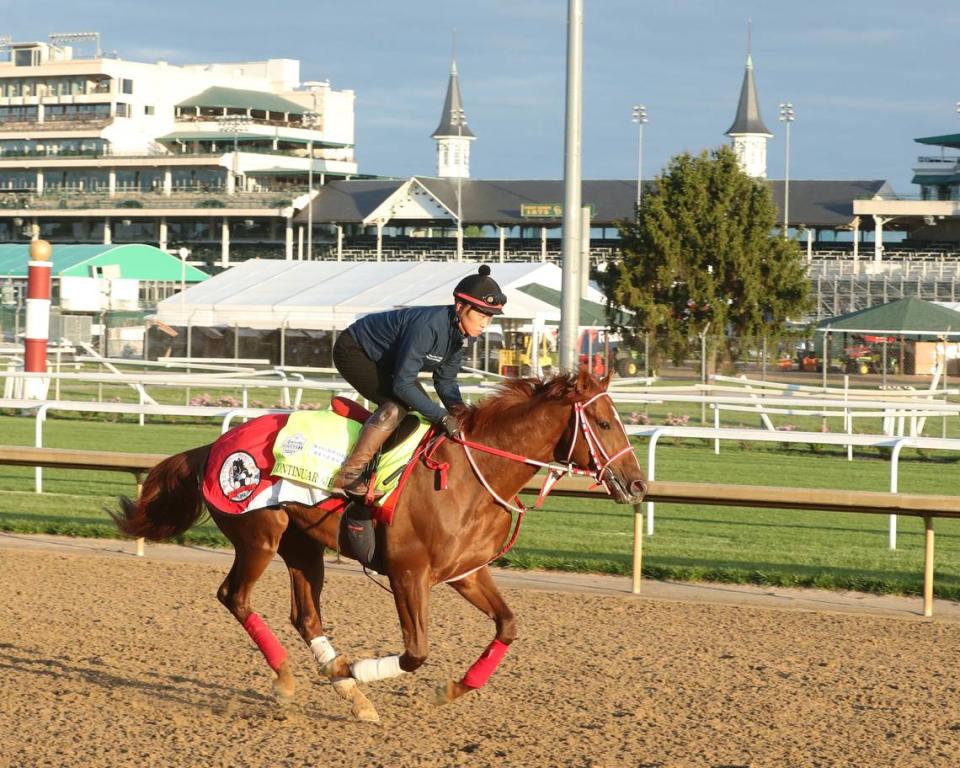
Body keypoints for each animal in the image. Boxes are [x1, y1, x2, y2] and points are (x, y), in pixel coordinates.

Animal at [114, 368, 652, 724]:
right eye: (605, 424)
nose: (638, 484)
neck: (471, 475)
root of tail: (213, 447)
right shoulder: (407, 574)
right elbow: (415, 653)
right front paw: (356, 667)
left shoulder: (466, 573)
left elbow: (508, 625)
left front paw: (454, 689)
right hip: (259, 536)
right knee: (235, 597)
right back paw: (293, 677)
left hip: (302, 547)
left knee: (305, 616)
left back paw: (350, 691)